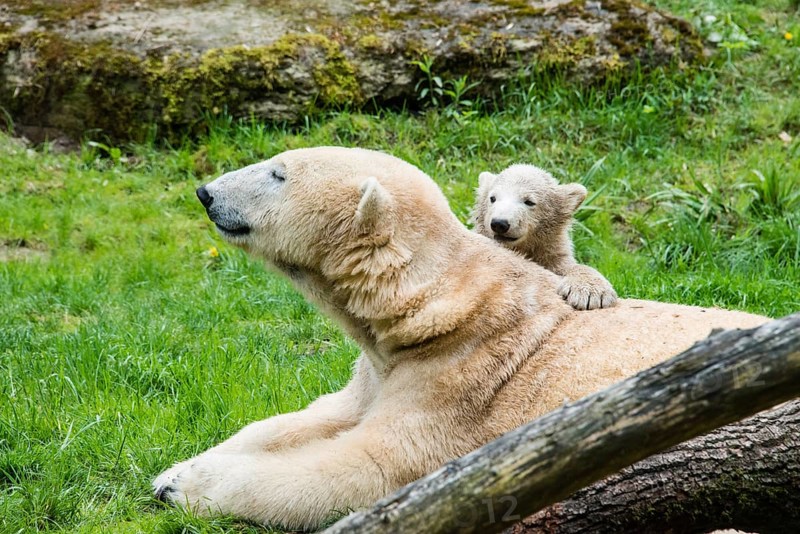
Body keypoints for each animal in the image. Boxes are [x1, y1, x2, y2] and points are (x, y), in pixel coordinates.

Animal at [472, 164, 617, 310]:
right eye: (492, 198)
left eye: (529, 201)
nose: (499, 223)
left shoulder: (551, 254)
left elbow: (569, 266)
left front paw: (591, 293)